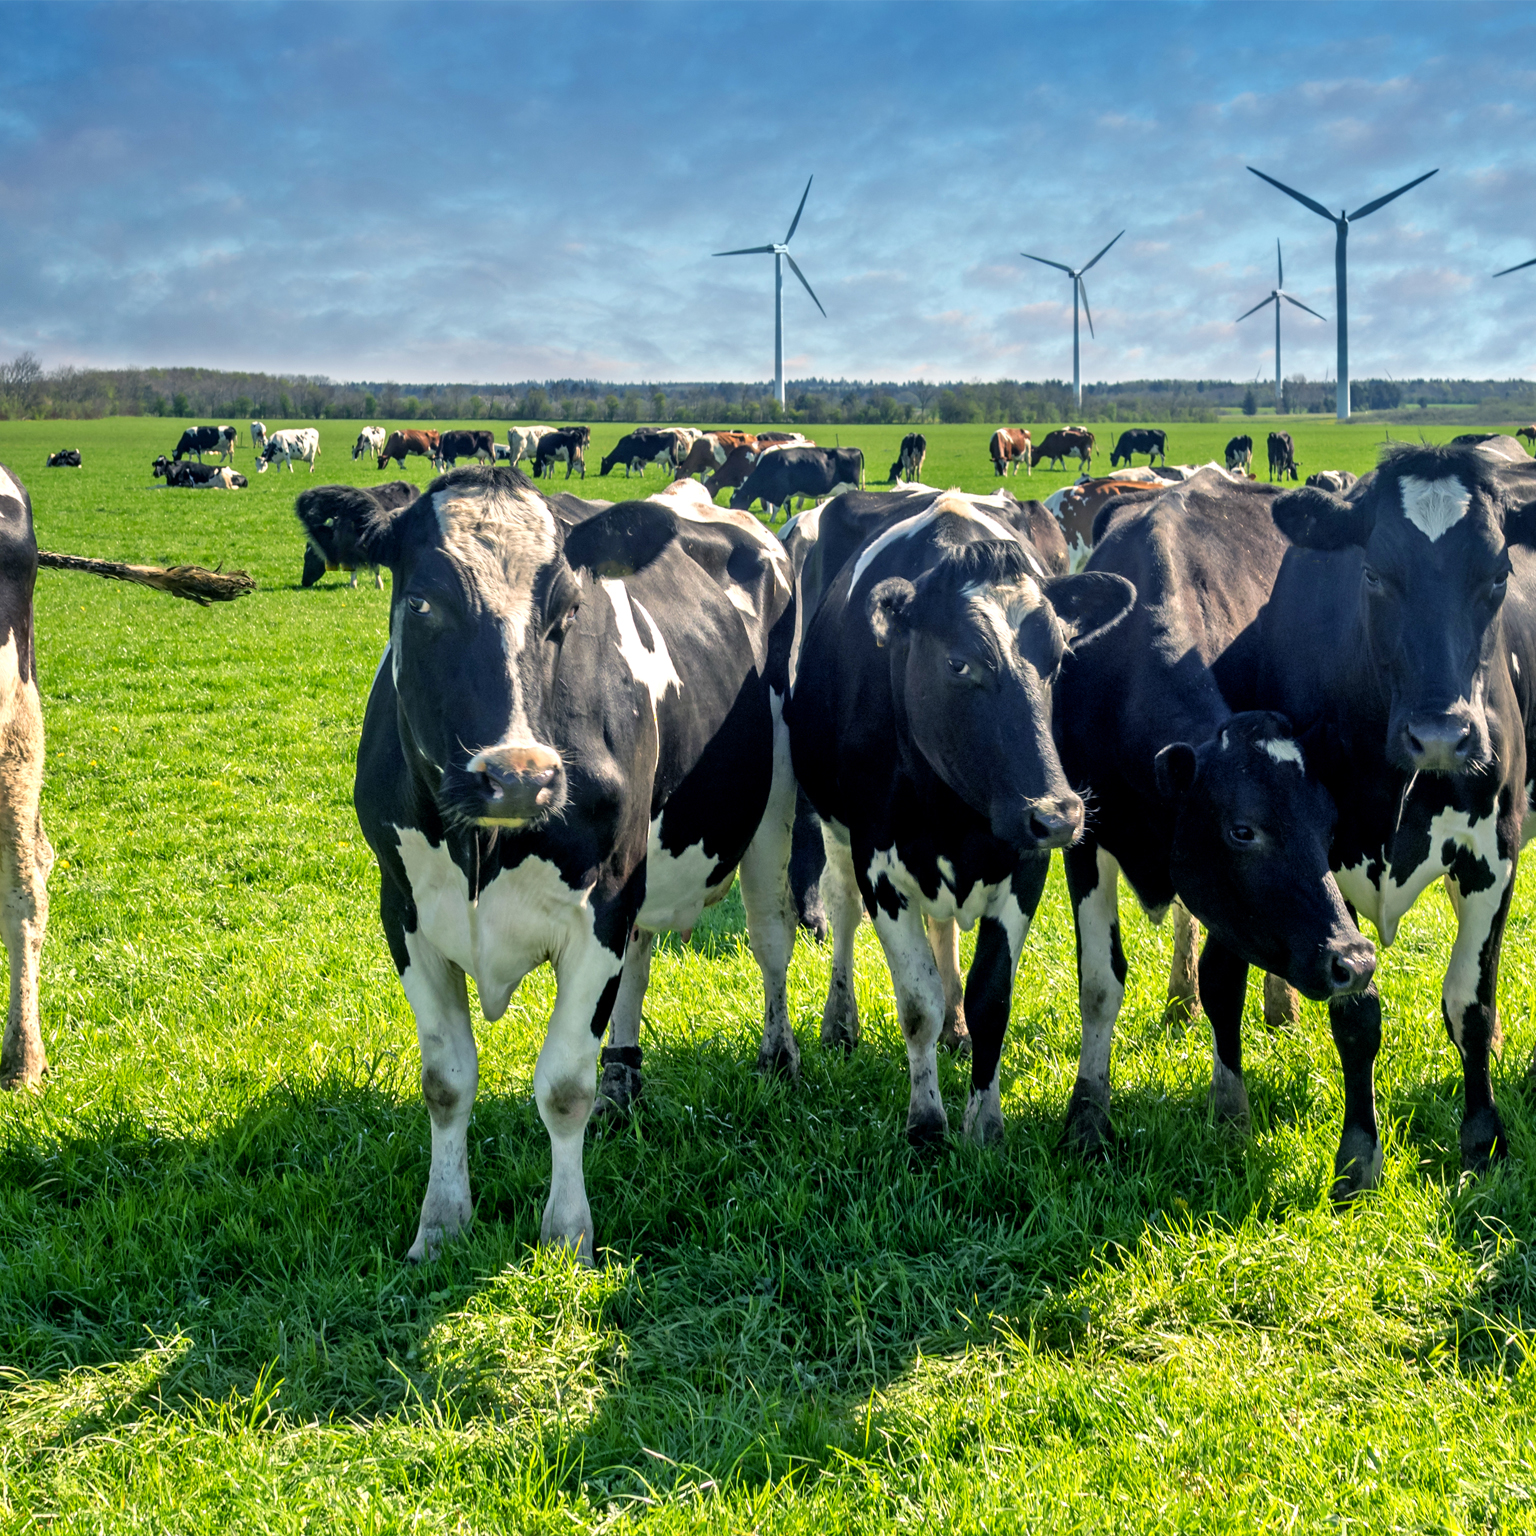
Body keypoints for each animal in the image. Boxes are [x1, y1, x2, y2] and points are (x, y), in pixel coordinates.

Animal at [351, 464, 800, 1261]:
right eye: (421, 602)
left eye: (567, 609)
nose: (517, 775)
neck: (485, 847)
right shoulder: (403, 910)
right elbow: (445, 1082)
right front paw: (440, 1225)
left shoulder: (602, 905)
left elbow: (563, 1087)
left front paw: (566, 1237)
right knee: (642, 964)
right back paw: (624, 1080)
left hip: (770, 813)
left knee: (771, 939)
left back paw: (777, 1057)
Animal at [731, 447, 865, 519]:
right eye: (730, 501)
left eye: (737, 500)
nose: (730, 512)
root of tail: (854, 449)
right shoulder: (786, 493)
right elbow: (787, 508)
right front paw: (788, 519)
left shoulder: (780, 492)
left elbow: (776, 509)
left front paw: (770, 521)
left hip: (852, 487)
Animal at [786, 490, 1134, 1145]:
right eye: (958, 664)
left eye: (1059, 658)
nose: (1059, 814)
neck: (951, 810)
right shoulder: (880, 863)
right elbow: (916, 1000)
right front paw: (926, 1123)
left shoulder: (1024, 864)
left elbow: (990, 996)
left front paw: (985, 1123)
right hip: (835, 828)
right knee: (841, 909)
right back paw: (840, 1022)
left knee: (943, 932)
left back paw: (954, 1030)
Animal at [1050, 469, 1375, 1156]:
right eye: (1242, 830)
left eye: (1330, 828)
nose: (1355, 962)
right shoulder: (1086, 840)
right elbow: (1099, 982)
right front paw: (1086, 1117)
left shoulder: (1232, 903)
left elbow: (1225, 980)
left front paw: (1230, 1110)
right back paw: (1179, 1000)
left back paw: (1279, 1006)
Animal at [1239, 437, 1536, 1197]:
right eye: (1372, 574)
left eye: (1498, 575)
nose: (1440, 736)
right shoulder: (1325, 858)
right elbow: (1355, 1014)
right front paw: (1358, 1155)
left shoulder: (1495, 854)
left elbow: (1470, 1004)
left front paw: (1482, 1139)